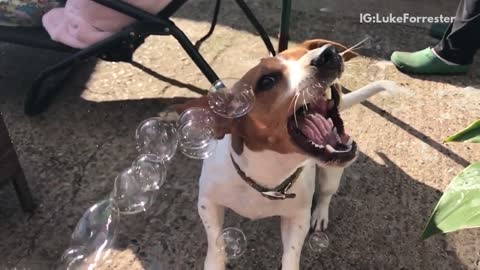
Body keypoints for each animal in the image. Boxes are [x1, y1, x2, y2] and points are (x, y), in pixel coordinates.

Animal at [178, 39, 396, 268]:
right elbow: (215, 240)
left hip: (331, 173)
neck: (267, 175)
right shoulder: (207, 203)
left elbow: (291, 255)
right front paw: (216, 260)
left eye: (308, 51)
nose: (327, 53)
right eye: (267, 81)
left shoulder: (298, 218)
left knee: (326, 194)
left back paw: (320, 214)